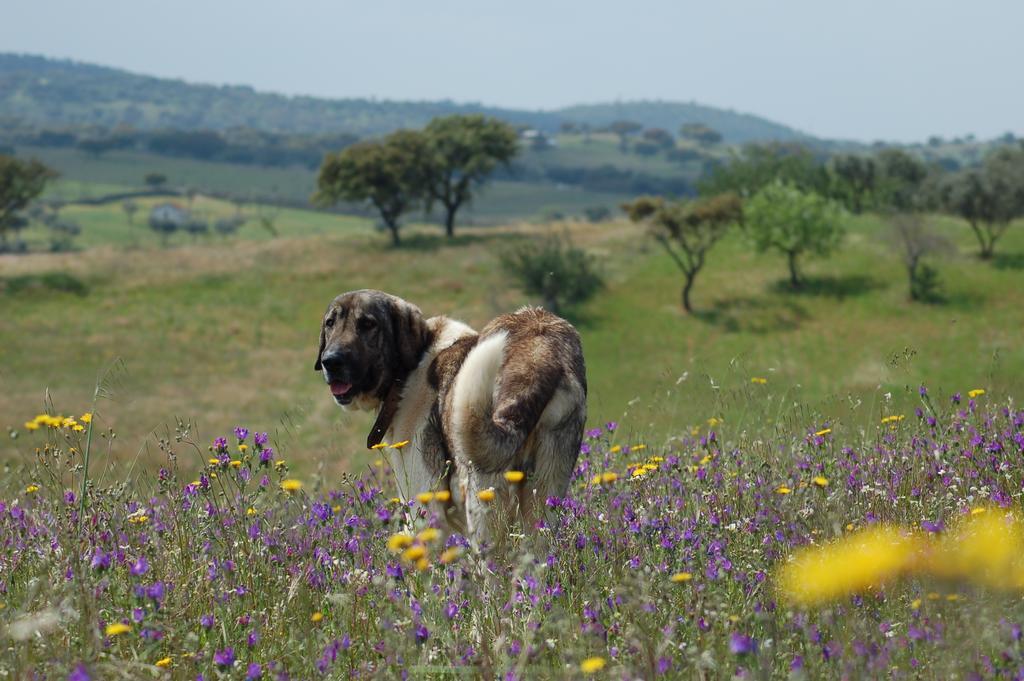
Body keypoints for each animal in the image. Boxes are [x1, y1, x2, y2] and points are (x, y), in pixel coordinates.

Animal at [311, 288, 589, 544]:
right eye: (330, 323)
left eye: (368, 324)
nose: (331, 361)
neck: (410, 368)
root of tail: (538, 362)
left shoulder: (424, 504)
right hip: (544, 497)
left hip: (482, 500)